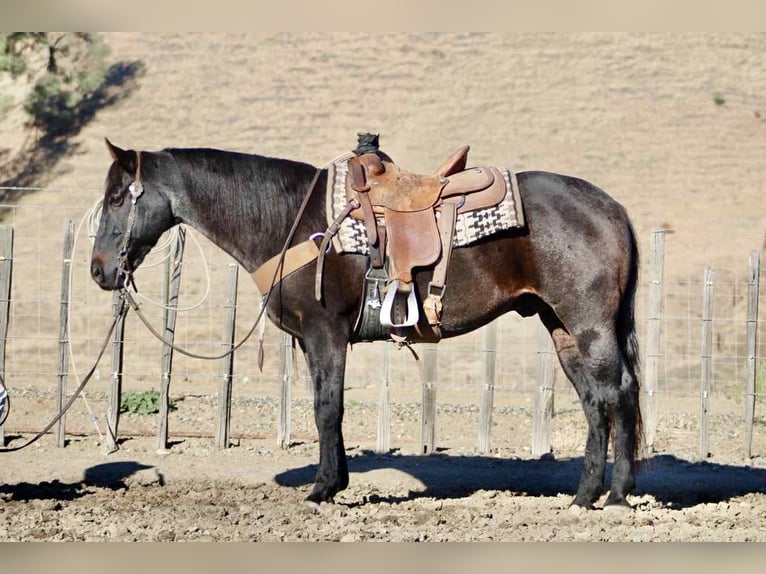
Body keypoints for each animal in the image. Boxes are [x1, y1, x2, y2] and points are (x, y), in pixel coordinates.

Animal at [90, 139, 641, 510]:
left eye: (117, 198)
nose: (98, 270)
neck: (291, 219)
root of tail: (610, 207)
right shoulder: (315, 343)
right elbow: (327, 408)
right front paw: (336, 483)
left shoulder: (326, 334)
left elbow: (326, 409)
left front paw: (321, 489)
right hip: (560, 326)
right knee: (595, 401)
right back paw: (584, 496)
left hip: (589, 324)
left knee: (616, 394)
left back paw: (615, 496)